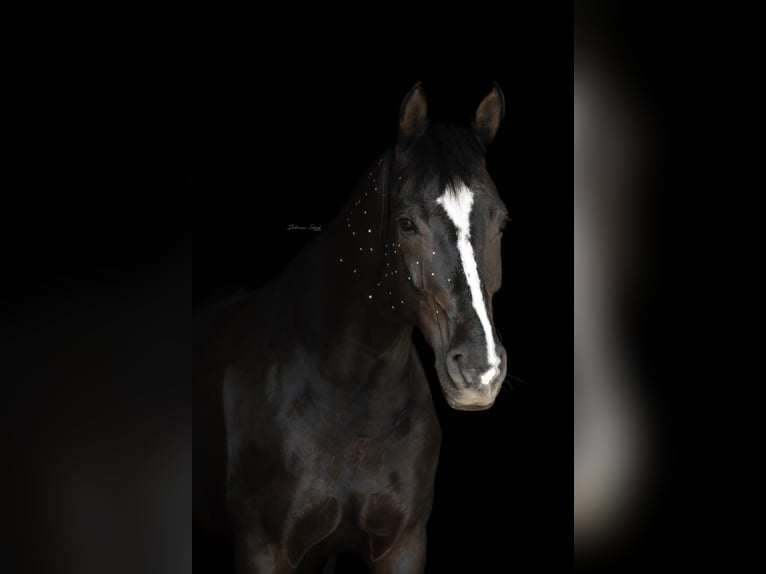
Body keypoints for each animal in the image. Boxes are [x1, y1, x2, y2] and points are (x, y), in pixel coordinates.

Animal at [194, 81, 509, 573]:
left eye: (501, 221)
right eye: (406, 223)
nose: (480, 371)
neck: (354, 401)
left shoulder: (403, 546)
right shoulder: (261, 549)